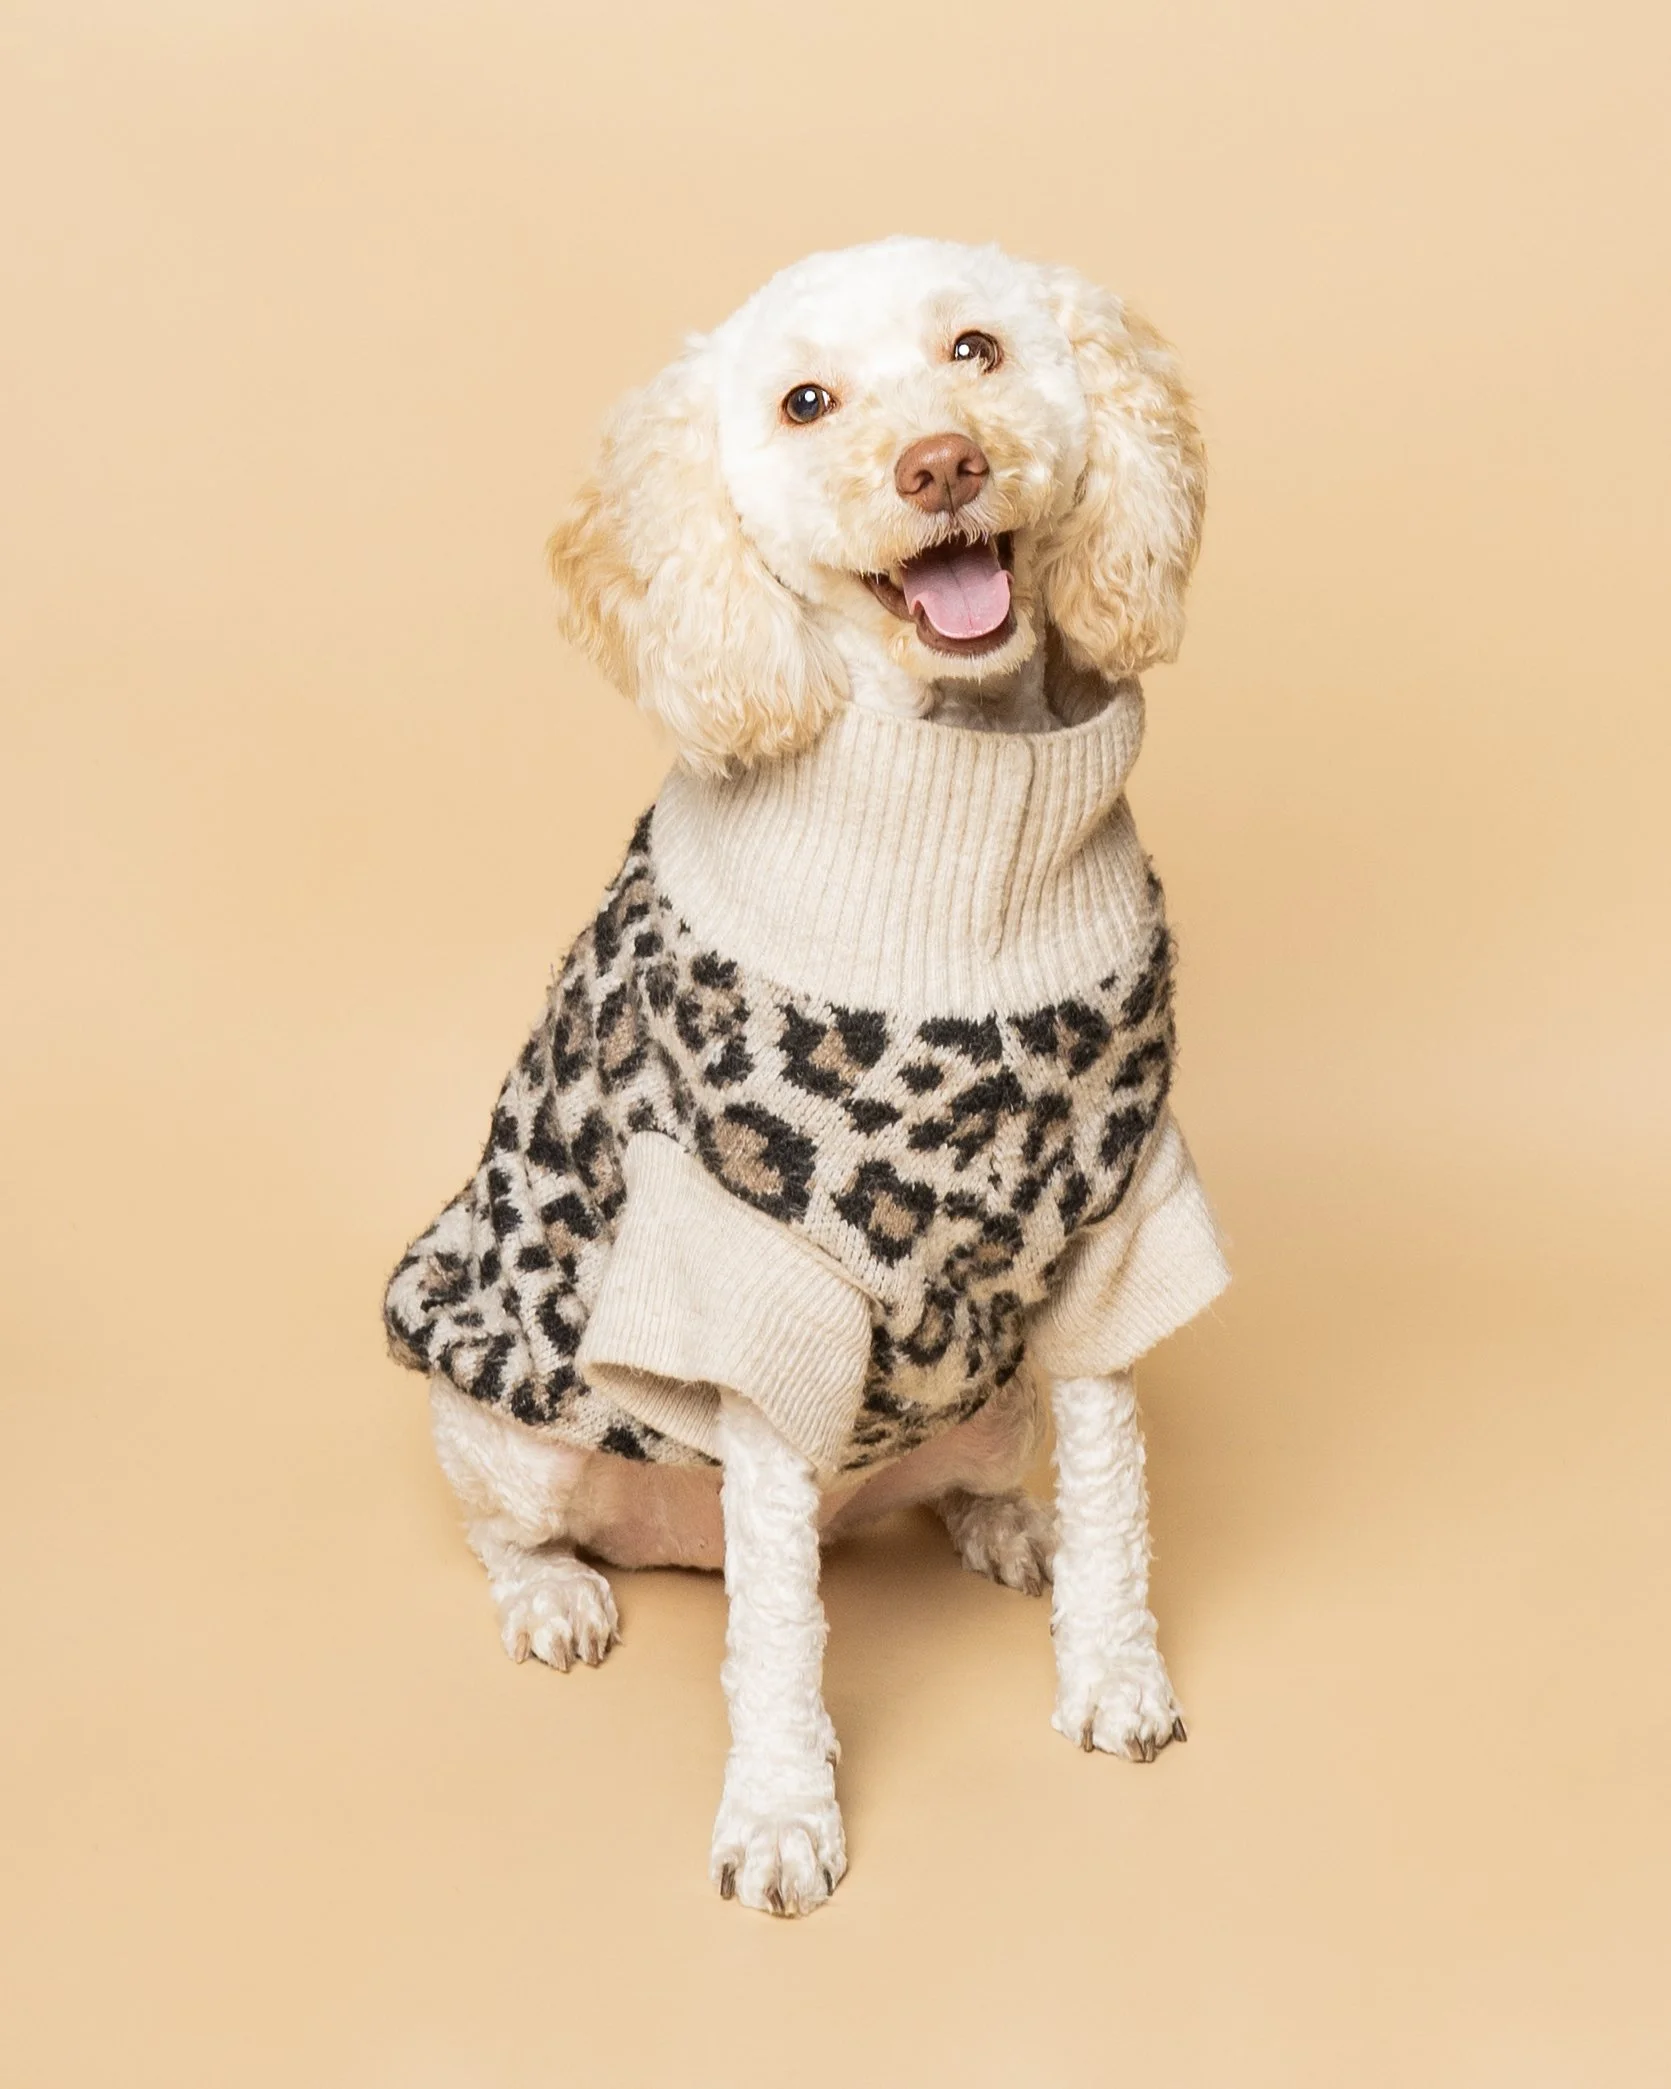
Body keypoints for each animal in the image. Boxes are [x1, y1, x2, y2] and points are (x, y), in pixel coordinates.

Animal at [385, 235, 1228, 1917]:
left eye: (974, 350)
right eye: (803, 403)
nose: (940, 463)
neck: (959, 816)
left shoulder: (1113, 1218)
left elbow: (1117, 1493)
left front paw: (1110, 1674)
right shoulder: (753, 1277)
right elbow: (778, 1640)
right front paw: (780, 1814)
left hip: (988, 1398)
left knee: (978, 1472)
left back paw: (1009, 1524)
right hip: (504, 1416)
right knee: (521, 1529)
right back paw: (551, 1598)